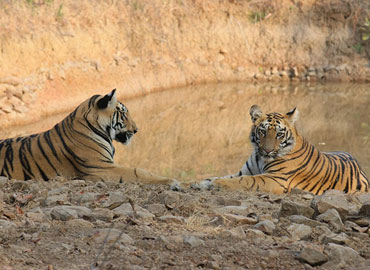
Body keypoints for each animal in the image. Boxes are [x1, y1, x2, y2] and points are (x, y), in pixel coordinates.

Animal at [192, 104, 368, 195]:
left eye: (279, 134)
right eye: (263, 131)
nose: (267, 151)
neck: (261, 158)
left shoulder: (276, 178)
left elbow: (242, 180)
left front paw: (218, 184)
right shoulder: (245, 171)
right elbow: (219, 176)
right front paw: (200, 183)